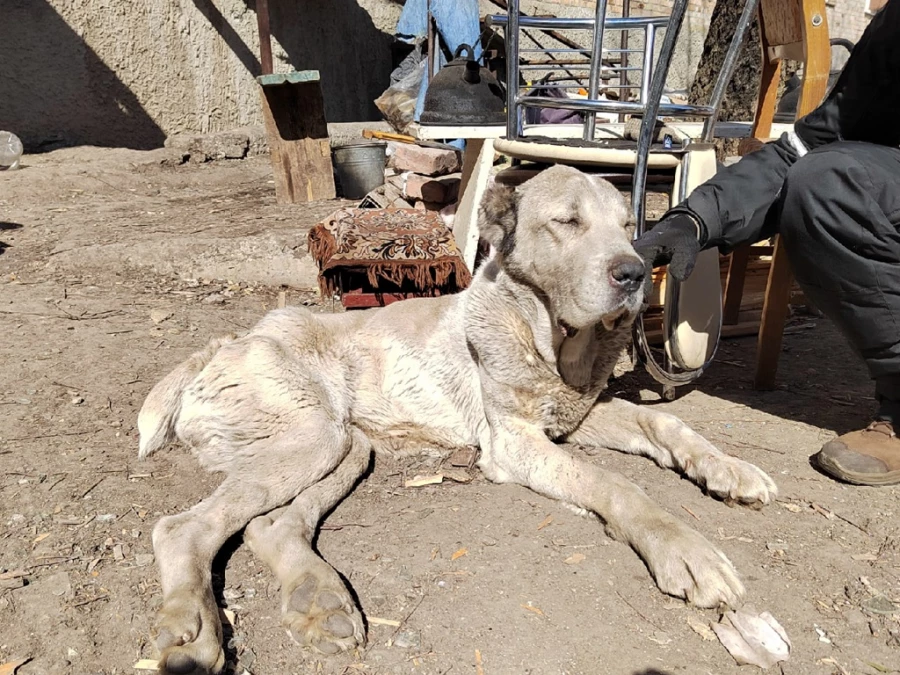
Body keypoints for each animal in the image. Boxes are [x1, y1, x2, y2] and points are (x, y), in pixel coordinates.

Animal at [139, 165, 772, 675]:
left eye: (627, 225)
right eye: (568, 222)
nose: (636, 273)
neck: (546, 337)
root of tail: (225, 342)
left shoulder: (577, 415)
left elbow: (667, 427)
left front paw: (731, 470)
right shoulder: (515, 443)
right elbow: (617, 483)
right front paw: (687, 551)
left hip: (347, 443)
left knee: (271, 524)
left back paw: (319, 603)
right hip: (313, 434)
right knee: (181, 527)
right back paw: (192, 632)